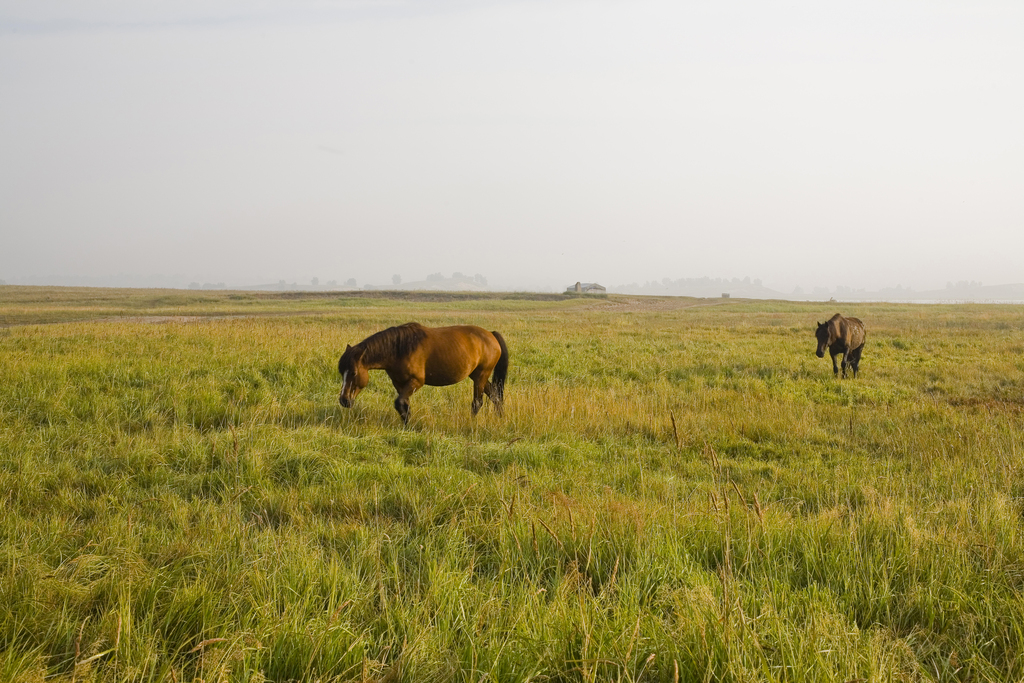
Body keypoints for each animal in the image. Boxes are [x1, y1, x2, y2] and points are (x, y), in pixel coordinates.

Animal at [337, 323, 509, 423]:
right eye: (341, 372)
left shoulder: (416, 382)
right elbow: (404, 405)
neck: (399, 349)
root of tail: (491, 334)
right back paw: (500, 419)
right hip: (477, 376)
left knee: (477, 402)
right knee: (495, 396)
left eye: (353, 373)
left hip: (481, 375)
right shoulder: (399, 384)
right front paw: (407, 426)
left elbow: (399, 403)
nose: (344, 400)